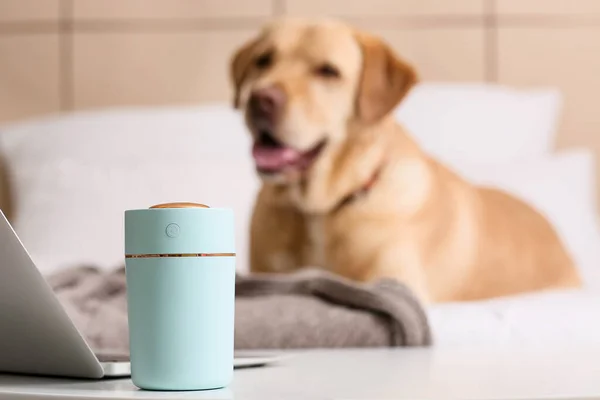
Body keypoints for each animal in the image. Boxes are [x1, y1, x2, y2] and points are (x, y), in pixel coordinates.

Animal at [230, 16, 580, 304]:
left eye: (328, 71)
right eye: (264, 60)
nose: (259, 98)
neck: (319, 211)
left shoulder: (397, 282)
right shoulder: (266, 272)